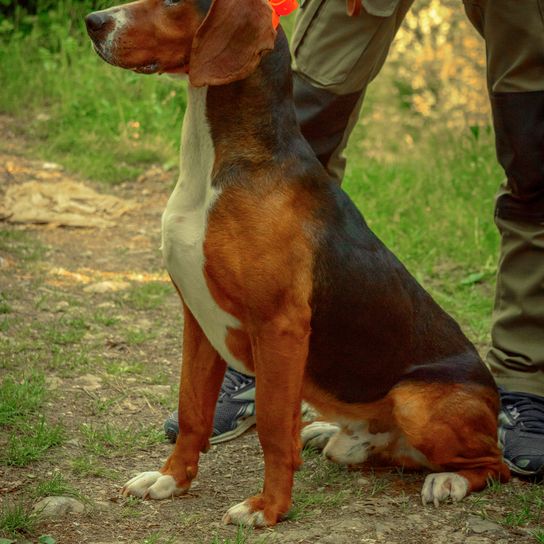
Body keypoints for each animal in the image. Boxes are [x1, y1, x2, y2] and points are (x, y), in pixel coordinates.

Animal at [85, 0, 510, 528]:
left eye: (171, 1)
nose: (93, 22)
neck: (218, 167)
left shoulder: (279, 325)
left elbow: (270, 425)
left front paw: (269, 507)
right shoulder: (197, 319)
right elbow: (191, 410)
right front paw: (171, 480)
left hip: (416, 402)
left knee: (495, 465)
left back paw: (449, 480)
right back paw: (333, 433)